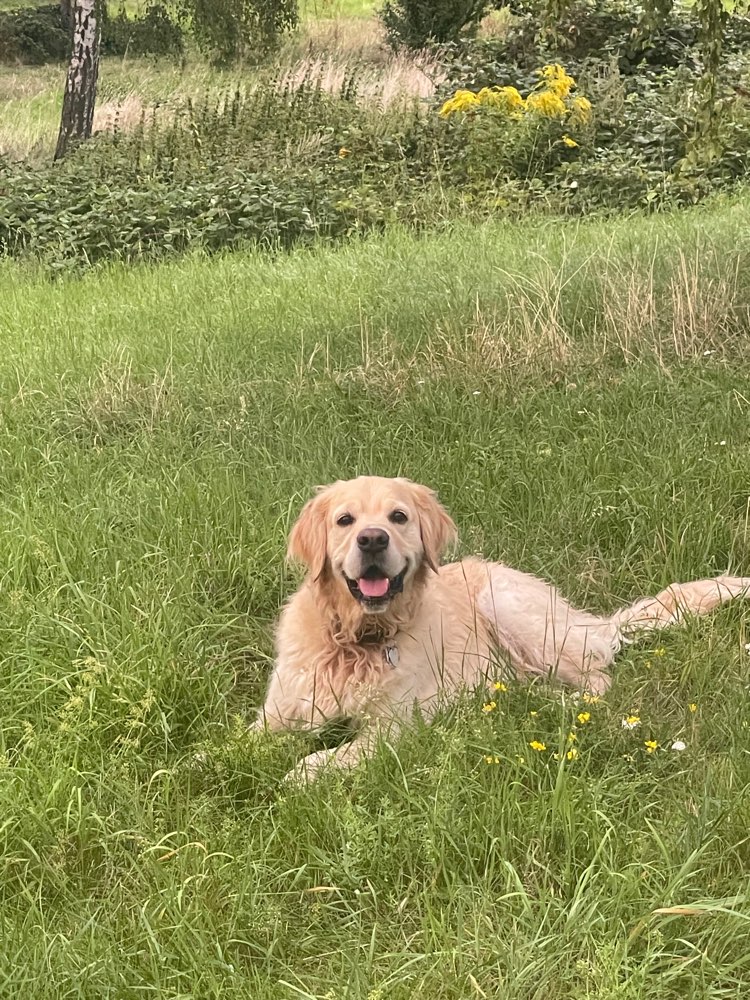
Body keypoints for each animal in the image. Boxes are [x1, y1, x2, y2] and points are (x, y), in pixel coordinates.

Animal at [258, 478, 750, 780]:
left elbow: (341, 753)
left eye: (399, 517)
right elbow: (247, 741)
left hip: (507, 604)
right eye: (345, 520)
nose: (373, 539)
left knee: (598, 682)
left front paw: (302, 772)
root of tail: (589, 621)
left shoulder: (395, 727)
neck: (355, 639)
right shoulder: (277, 713)